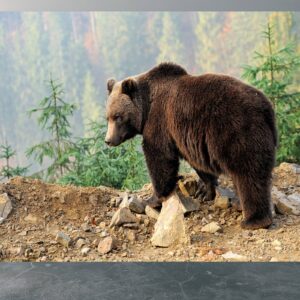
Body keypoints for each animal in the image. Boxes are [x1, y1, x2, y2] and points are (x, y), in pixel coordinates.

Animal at [105, 62, 276, 229]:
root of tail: (266, 107)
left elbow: (160, 158)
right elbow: (198, 164)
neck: (146, 107)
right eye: (108, 117)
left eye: (118, 116)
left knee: (248, 173)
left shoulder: (160, 121)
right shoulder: (189, 139)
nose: (108, 140)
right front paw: (205, 191)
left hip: (237, 131)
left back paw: (254, 220)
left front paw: (153, 199)